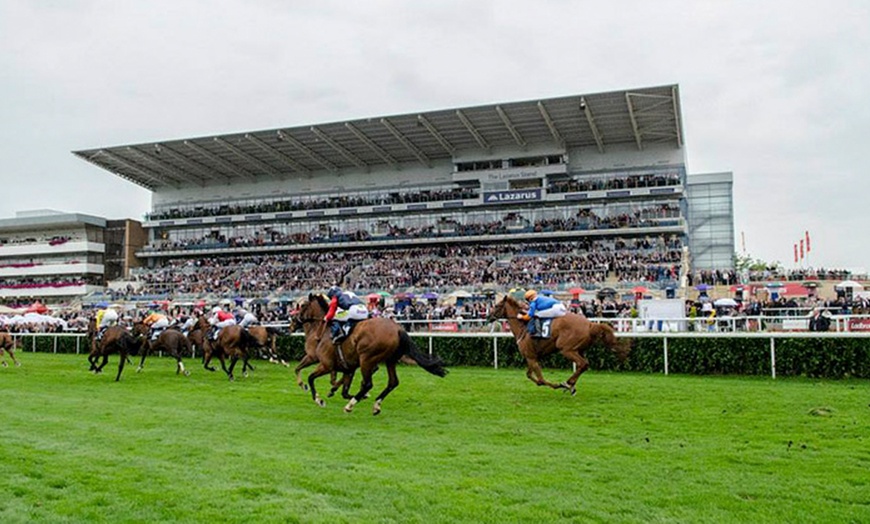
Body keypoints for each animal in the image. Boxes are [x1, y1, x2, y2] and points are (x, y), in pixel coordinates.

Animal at [300, 296, 450, 416]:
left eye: (302, 306)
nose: (297, 318)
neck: (325, 331)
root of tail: (398, 329)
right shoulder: (348, 369)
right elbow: (343, 389)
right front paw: (333, 393)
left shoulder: (327, 365)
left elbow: (311, 378)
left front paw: (319, 400)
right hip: (390, 360)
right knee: (393, 382)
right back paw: (376, 405)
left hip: (366, 359)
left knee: (368, 384)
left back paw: (350, 406)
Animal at [488, 296, 632, 396]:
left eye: (497, 305)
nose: (488, 317)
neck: (523, 328)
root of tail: (590, 324)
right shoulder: (531, 357)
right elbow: (529, 375)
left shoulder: (531, 357)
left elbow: (540, 380)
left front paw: (558, 385)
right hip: (579, 349)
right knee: (584, 365)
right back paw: (571, 385)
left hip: (566, 349)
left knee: (582, 364)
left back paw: (567, 383)